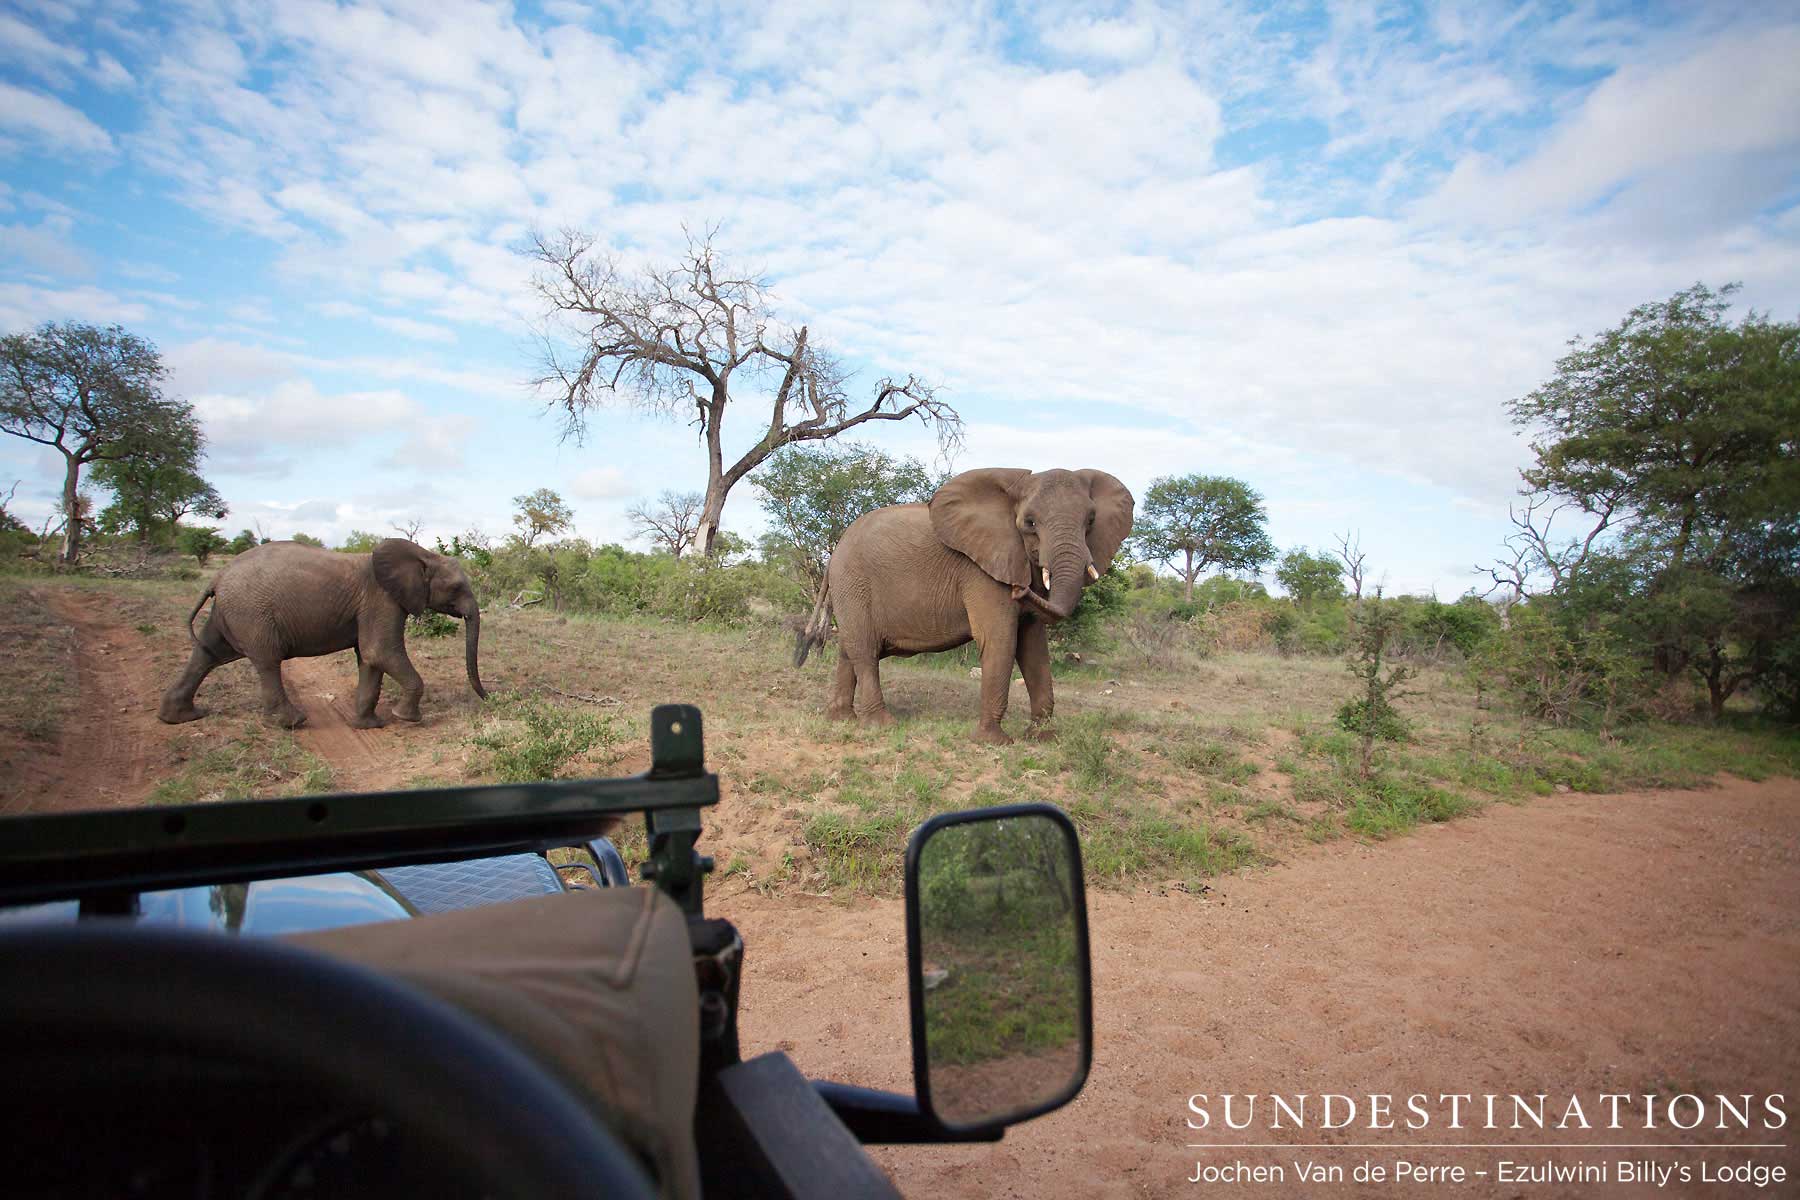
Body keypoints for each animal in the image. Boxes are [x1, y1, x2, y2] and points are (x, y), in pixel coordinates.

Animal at [157, 538, 488, 730]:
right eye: (456, 588)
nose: (489, 698)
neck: (423, 555)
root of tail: (217, 577)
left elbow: (369, 658)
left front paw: (369, 726)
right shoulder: (382, 600)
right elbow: (380, 651)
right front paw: (406, 718)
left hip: (231, 611)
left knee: (208, 652)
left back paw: (179, 718)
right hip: (252, 612)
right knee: (267, 660)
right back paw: (292, 722)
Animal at [793, 467, 1133, 744]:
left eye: (1091, 521)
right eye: (1030, 523)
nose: (1018, 589)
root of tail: (832, 556)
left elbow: (1033, 646)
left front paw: (1043, 739)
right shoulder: (981, 571)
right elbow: (1000, 639)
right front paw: (993, 742)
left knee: (848, 649)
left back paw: (841, 720)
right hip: (853, 583)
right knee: (863, 650)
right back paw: (882, 725)